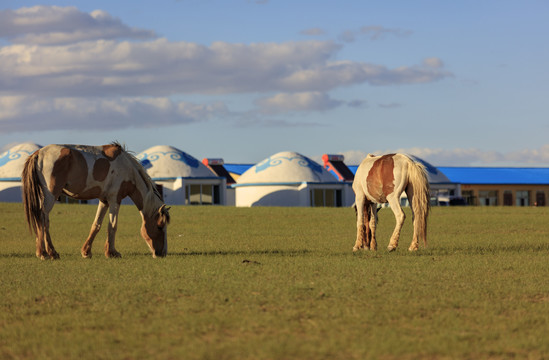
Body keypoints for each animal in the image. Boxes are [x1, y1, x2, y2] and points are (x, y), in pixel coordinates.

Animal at [22, 142, 169, 260]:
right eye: (159, 226)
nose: (162, 253)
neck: (127, 169)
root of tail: (38, 154)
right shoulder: (114, 200)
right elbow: (112, 226)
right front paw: (112, 252)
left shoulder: (104, 201)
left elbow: (96, 225)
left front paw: (86, 252)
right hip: (50, 195)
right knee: (43, 220)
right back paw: (47, 253)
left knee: (41, 219)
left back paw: (45, 252)